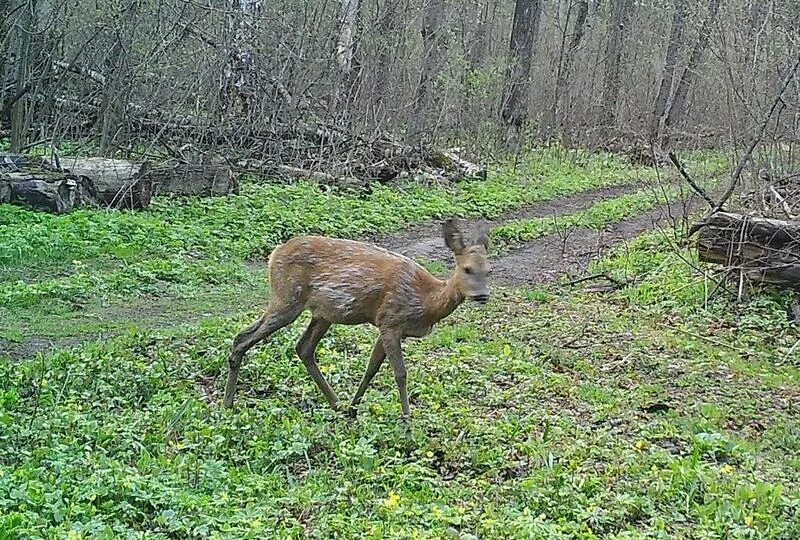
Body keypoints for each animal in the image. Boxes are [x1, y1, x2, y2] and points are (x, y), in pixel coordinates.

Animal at [222, 217, 490, 420]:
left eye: (489, 270)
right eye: (466, 269)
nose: (482, 295)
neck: (426, 303)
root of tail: (274, 253)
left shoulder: (387, 325)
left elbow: (371, 369)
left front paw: (353, 408)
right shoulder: (391, 319)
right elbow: (400, 373)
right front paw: (407, 422)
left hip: (322, 312)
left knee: (303, 347)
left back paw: (337, 404)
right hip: (287, 297)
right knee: (243, 337)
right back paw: (228, 403)